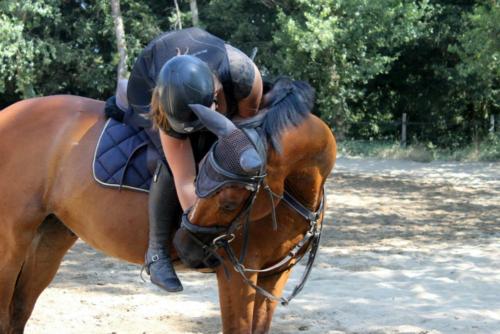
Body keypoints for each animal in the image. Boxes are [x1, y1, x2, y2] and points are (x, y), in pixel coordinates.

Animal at [0, 79, 336, 334]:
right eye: (198, 181)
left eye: (229, 203)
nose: (184, 246)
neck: (293, 196)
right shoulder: (235, 274)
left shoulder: (275, 274)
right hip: (12, 243)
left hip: (51, 237)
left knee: (19, 310)